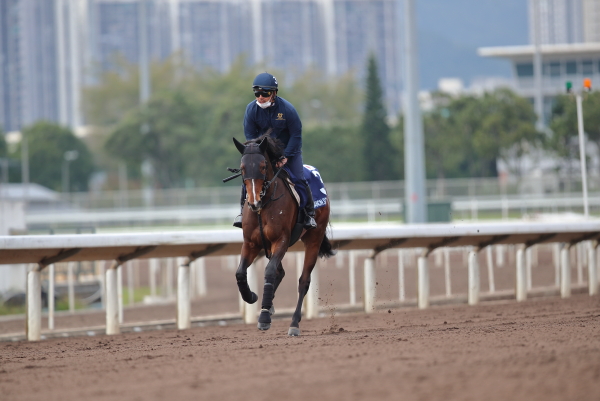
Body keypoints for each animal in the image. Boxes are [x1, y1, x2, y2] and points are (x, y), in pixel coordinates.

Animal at [231, 134, 336, 334]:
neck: (263, 207)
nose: (254, 201)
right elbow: (240, 273)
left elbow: (270, 271)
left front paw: (264, 316)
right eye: (242, 168)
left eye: (263, 165)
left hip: (314, 239)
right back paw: (269, 305)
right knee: (281, 272)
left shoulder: (281, 240)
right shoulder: (251, 243)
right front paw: (252, 296)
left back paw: (294, 323)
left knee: (303, 281)